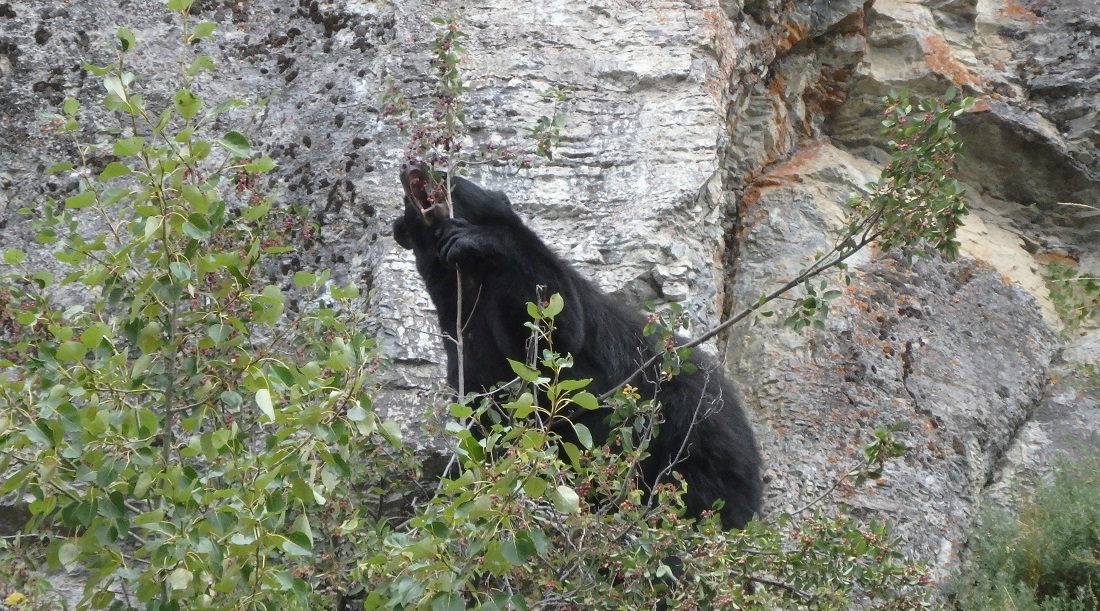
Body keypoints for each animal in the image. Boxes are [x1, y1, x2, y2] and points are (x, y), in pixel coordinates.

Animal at [396, 164, 765, 530]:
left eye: (448, 173)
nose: (411, 164)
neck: (470, 283)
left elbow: (558, 326)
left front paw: (478, 239)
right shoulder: (466, 335)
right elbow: (489, 399)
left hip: (696, 438)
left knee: (706, 493)